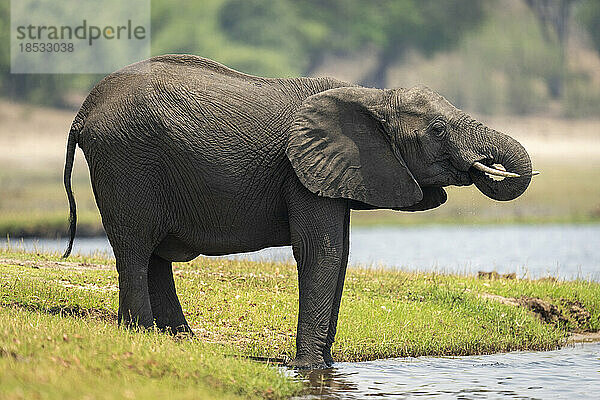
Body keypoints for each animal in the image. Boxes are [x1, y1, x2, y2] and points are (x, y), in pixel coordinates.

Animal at [63, 54, 536, 370]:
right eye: (437, 130)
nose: (487, 165)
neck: (371, 96)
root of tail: (85, 109)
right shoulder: (300, 171)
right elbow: (321, 255)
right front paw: (308, 369)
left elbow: (340, 256)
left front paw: (326, 368)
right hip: (126, 162)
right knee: (136, 250)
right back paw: (141, 335)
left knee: (155, 256)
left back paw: (179, 341)